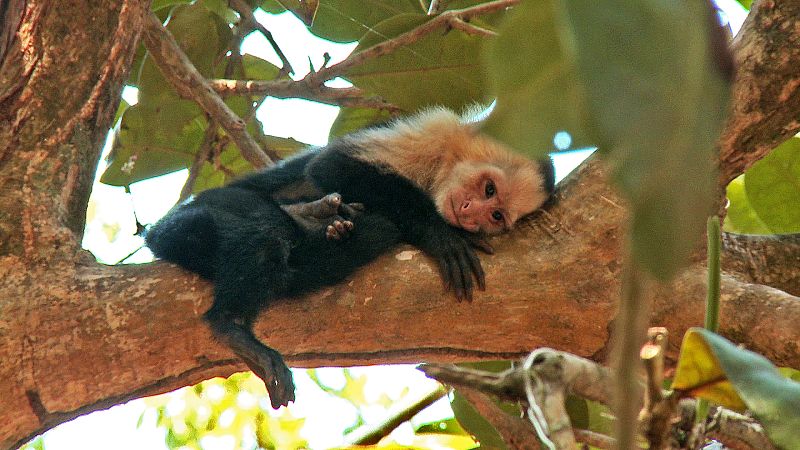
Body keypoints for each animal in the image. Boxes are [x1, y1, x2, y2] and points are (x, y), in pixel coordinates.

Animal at [145, 107, 555, 409]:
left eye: (497, 215)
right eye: (488, 189)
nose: (472, 216)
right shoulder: (434, 130)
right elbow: (332, 166)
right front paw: (441, 233)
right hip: (196, 215)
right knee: (264, 224)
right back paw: (232, 325)